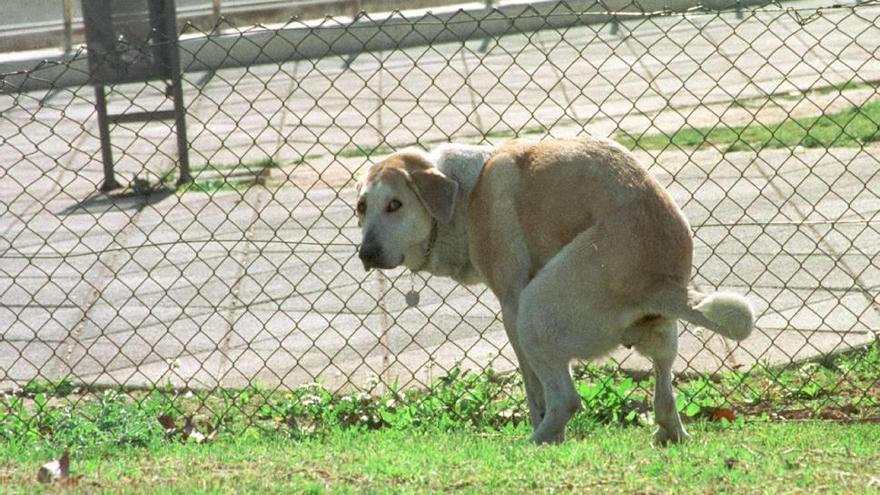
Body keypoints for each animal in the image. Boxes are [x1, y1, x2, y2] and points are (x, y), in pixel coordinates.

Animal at [354, 137, 752, 446]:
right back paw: (671, 433)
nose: (366, 254)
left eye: (395, 205)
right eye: (361, 208)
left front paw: (547, 431)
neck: (464, 196)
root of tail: (658, 282)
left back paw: (536, 440)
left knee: (567, 398)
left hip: (536, 311)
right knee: (665, 388)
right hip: (661, 334)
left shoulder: (511, 306)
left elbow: (534, 389)